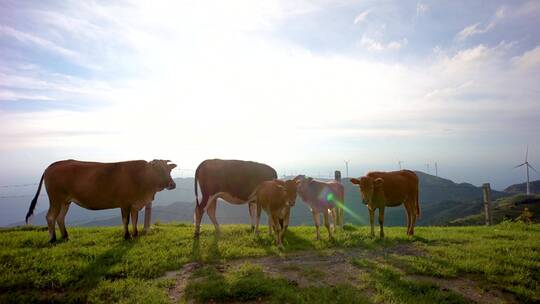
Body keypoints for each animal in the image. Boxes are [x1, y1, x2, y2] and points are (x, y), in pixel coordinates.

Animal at [25, 159, 177, 242]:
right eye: (159, 170)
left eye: (169, 170)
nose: (172, 184)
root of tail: (51, 166)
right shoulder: (124, 203)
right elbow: (126, 220)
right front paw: (126, 236)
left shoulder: (134, 204)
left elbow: (135, 219)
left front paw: (135, 234)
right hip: (55, 199)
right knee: (50, 217)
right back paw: (53, 239)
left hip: (65, 201)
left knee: (60, 217)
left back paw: (66, 236)